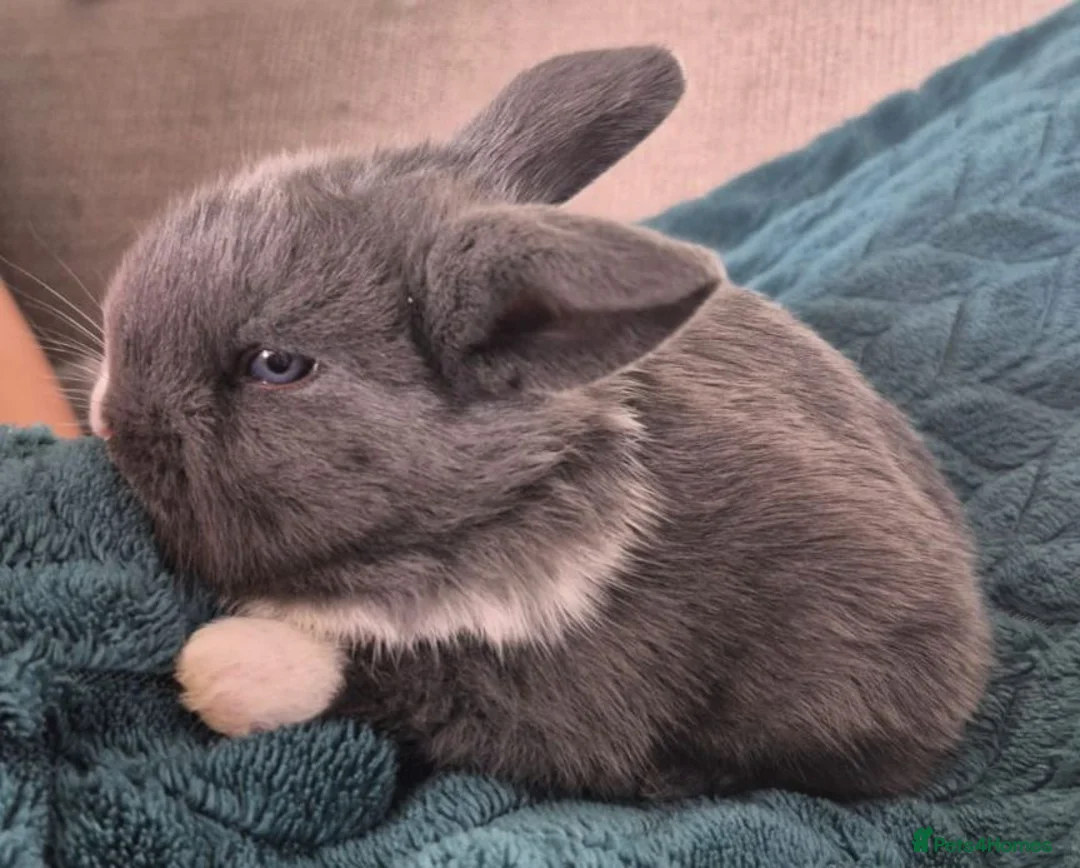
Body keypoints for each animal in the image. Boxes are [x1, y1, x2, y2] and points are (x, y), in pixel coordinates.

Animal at [90, 46, 992, 802]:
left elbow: (377, 681)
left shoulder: (552, 688)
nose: (107, 418)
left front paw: (217, 671)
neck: (504, 493)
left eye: (276, 365)